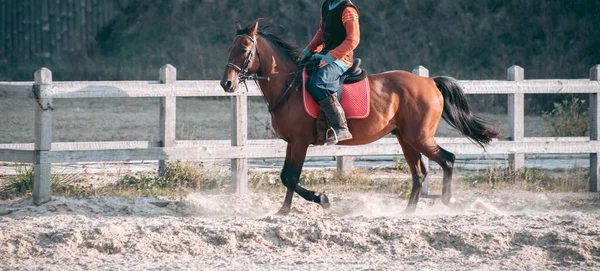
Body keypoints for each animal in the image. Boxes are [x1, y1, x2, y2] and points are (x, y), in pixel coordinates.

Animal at [220, 20, 502, 216]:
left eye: (244, 49)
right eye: (230, 48)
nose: (227, 83)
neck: (290, 85)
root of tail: (429, 81)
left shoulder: (300, 142)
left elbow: (290, 176)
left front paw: (322, 200)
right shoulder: (293, 142)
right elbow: (287, 176)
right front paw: (284, 210)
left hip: (419, 137)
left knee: (448, 159)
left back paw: (447, 201)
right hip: (406, 139)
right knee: (419, 173)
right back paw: (408, 212)